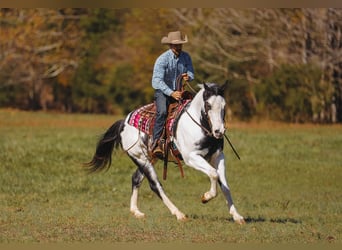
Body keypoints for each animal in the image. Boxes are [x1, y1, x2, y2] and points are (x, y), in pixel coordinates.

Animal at [85, 82, 246, 225]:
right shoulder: (191, 157)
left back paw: (136, 211)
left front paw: (237, 216)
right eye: (208, 105)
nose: (219, 131)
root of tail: (123, 122)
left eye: (224, 106)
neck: (199, 126)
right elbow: (213, 174)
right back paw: (179, 214)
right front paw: (206, 197)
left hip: (150, 158)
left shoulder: (218, 157)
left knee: (136, 178)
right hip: (141, 158)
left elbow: (224, 185)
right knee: (155, 185)